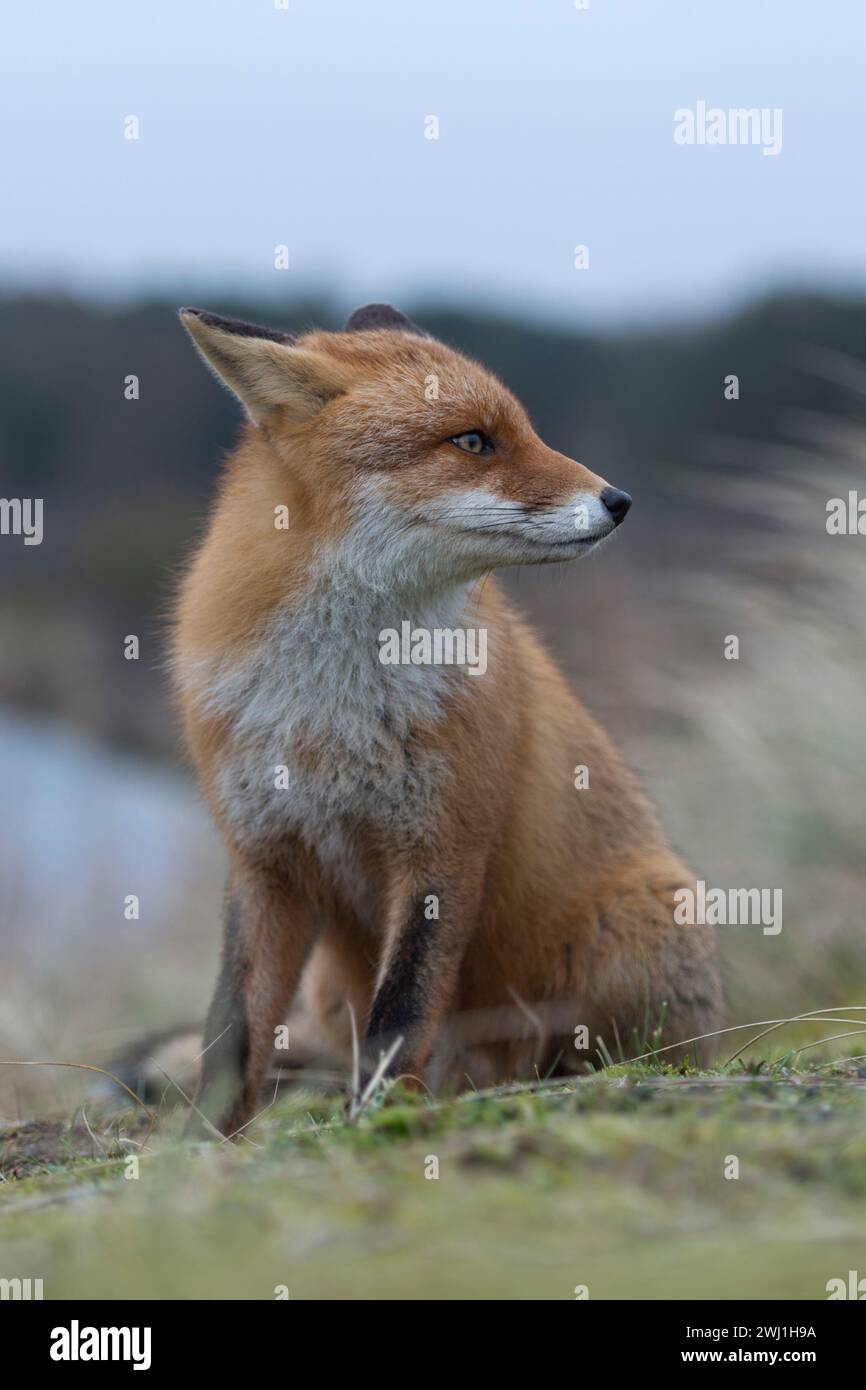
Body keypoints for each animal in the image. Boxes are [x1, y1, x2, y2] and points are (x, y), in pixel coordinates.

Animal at [171, 301, 721, 1138]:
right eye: (472, 440)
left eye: (520, 429)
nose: (620, 501)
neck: (333, 704)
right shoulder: (264, 858)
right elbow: (231, 1031)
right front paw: (204, 1147)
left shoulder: (445, 844)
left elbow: (402, 1011)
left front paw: (376, 1121)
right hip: (328, 983)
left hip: (636, 932)